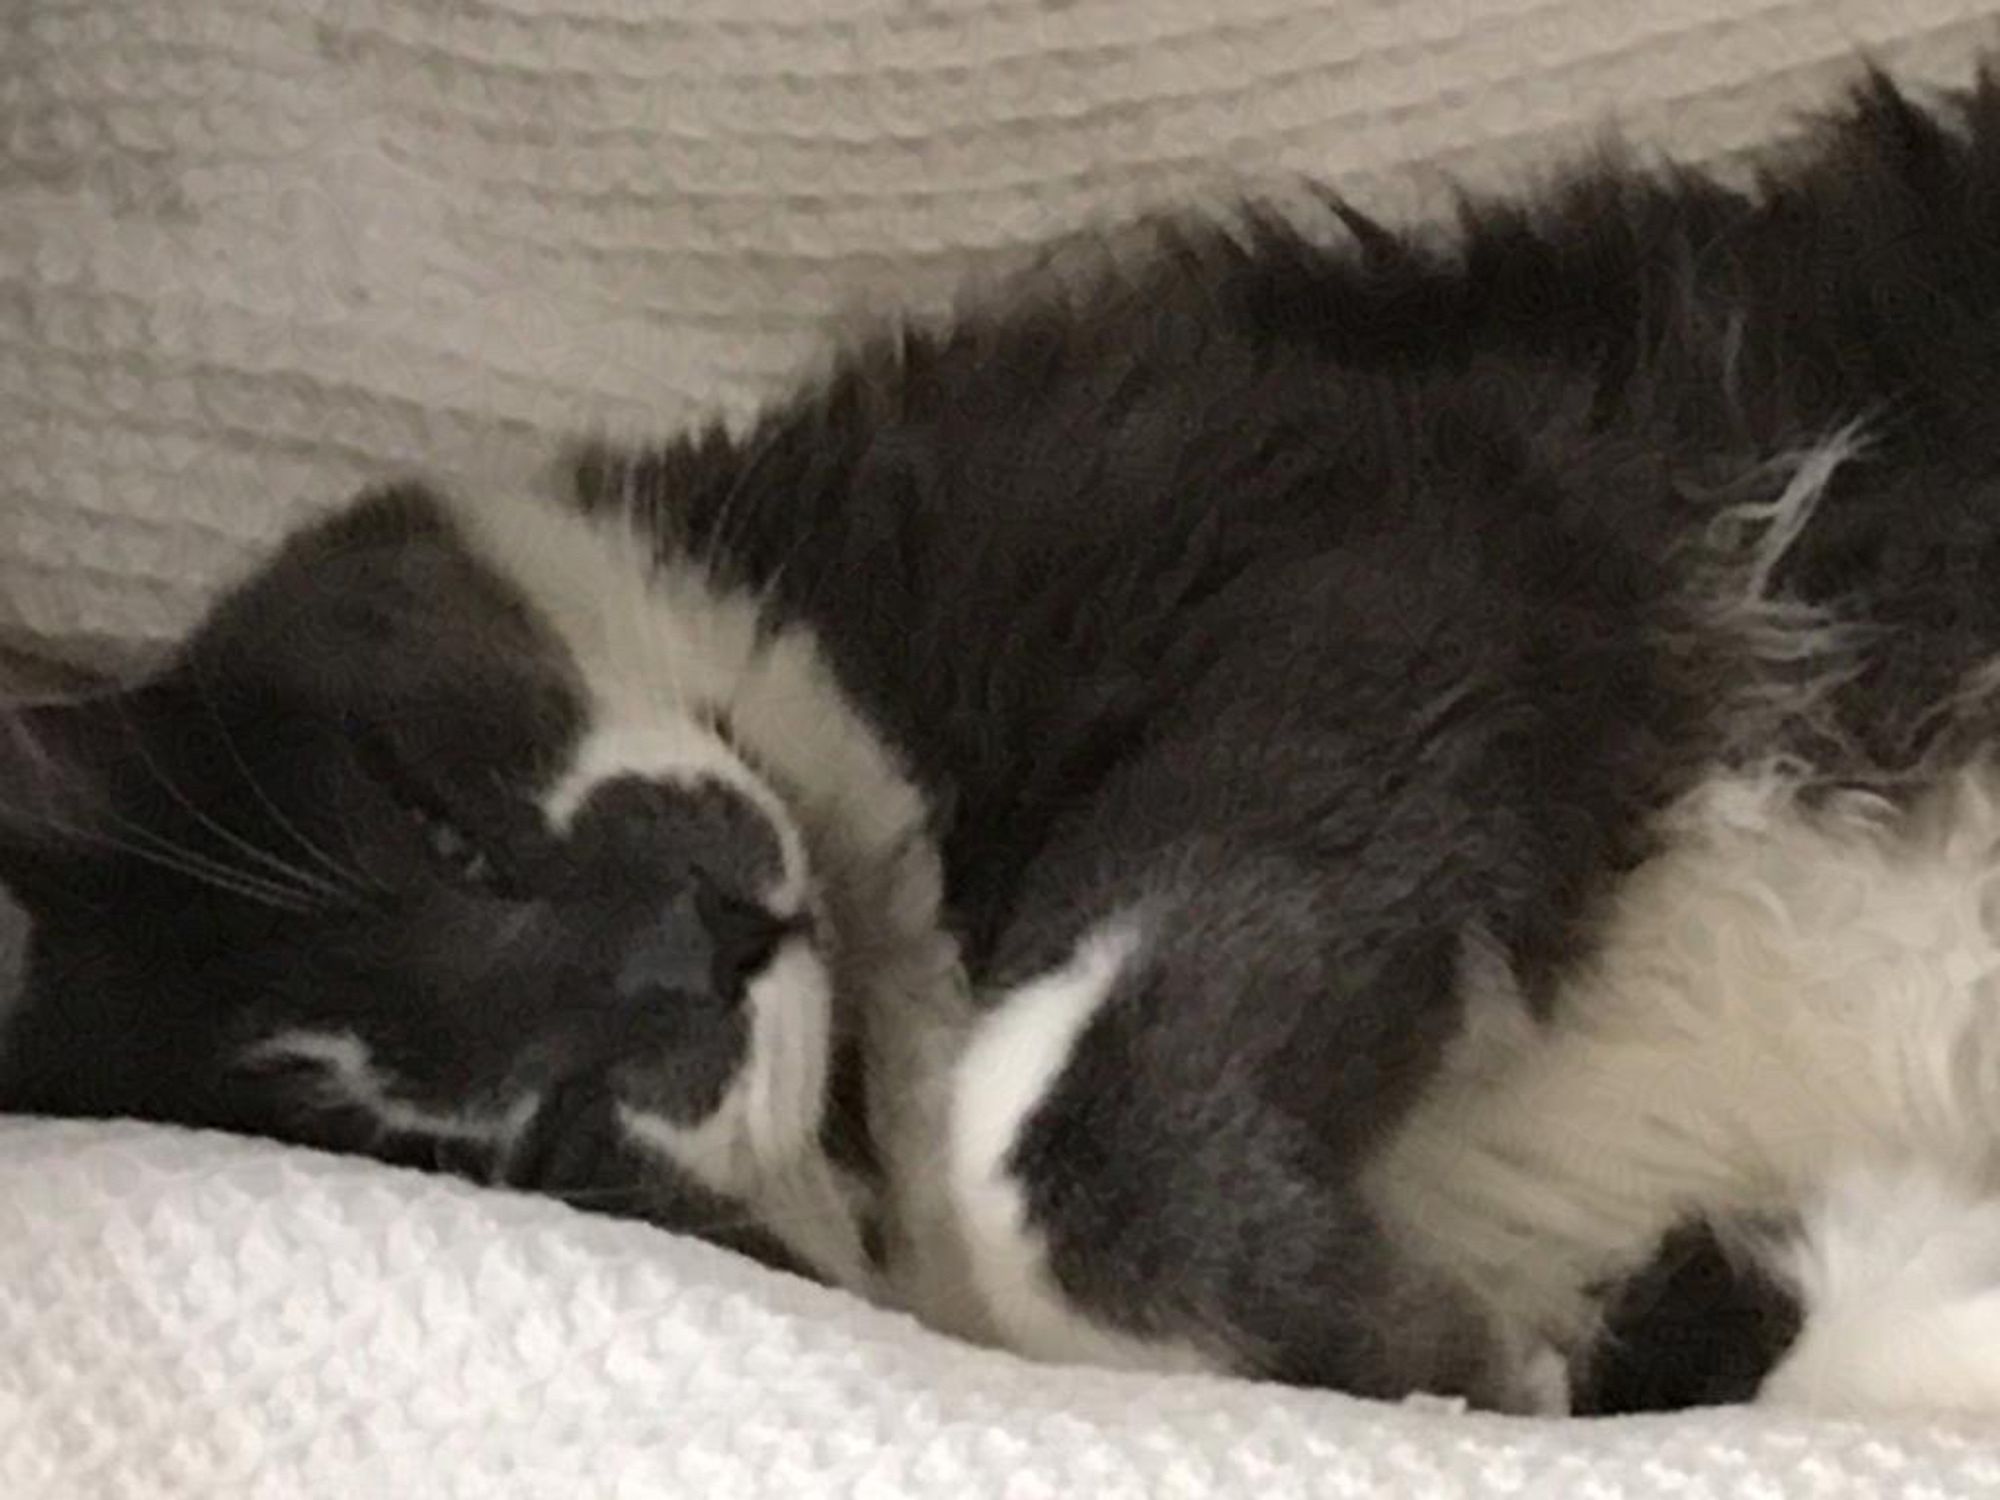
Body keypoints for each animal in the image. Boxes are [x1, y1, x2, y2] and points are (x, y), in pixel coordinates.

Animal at [3, 58, 2000, 1424]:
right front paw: (1443, 1356)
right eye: (557, 1153)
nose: (690, 951)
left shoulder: (1381, 513)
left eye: (442, 830)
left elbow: (1027, 1122)